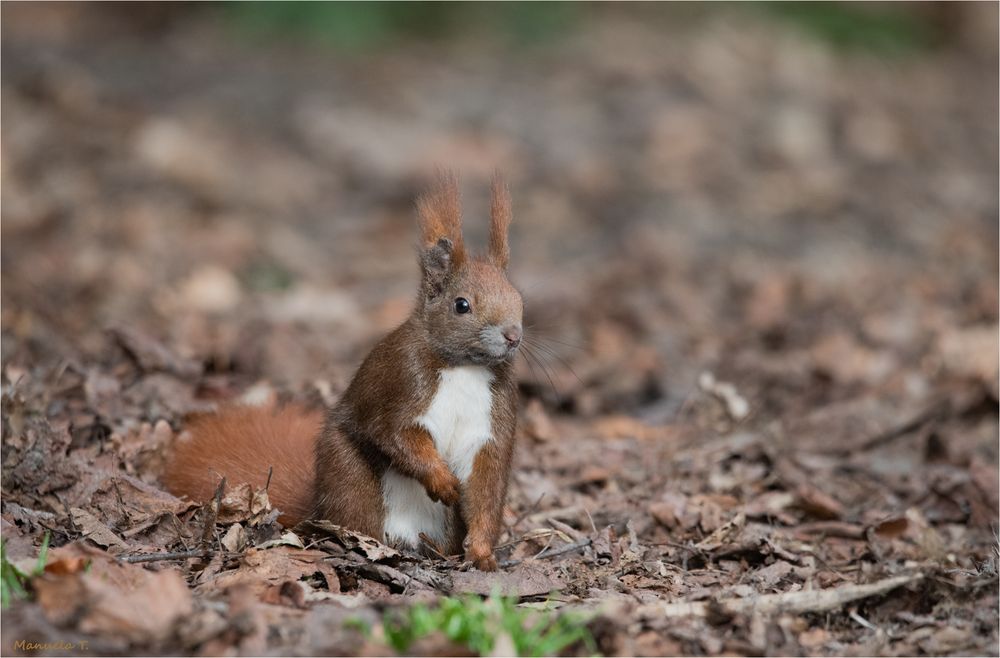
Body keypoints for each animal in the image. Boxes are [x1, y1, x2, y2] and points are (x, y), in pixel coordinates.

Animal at [162, 173, 524, 568]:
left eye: (518, 297)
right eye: (462, 305)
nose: (513, 335)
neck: (464, 368)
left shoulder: (492, 424)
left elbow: (486, 490)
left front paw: (483, 555)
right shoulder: (403, 381)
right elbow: (396, 434)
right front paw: (442, 481)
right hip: (349, 477)